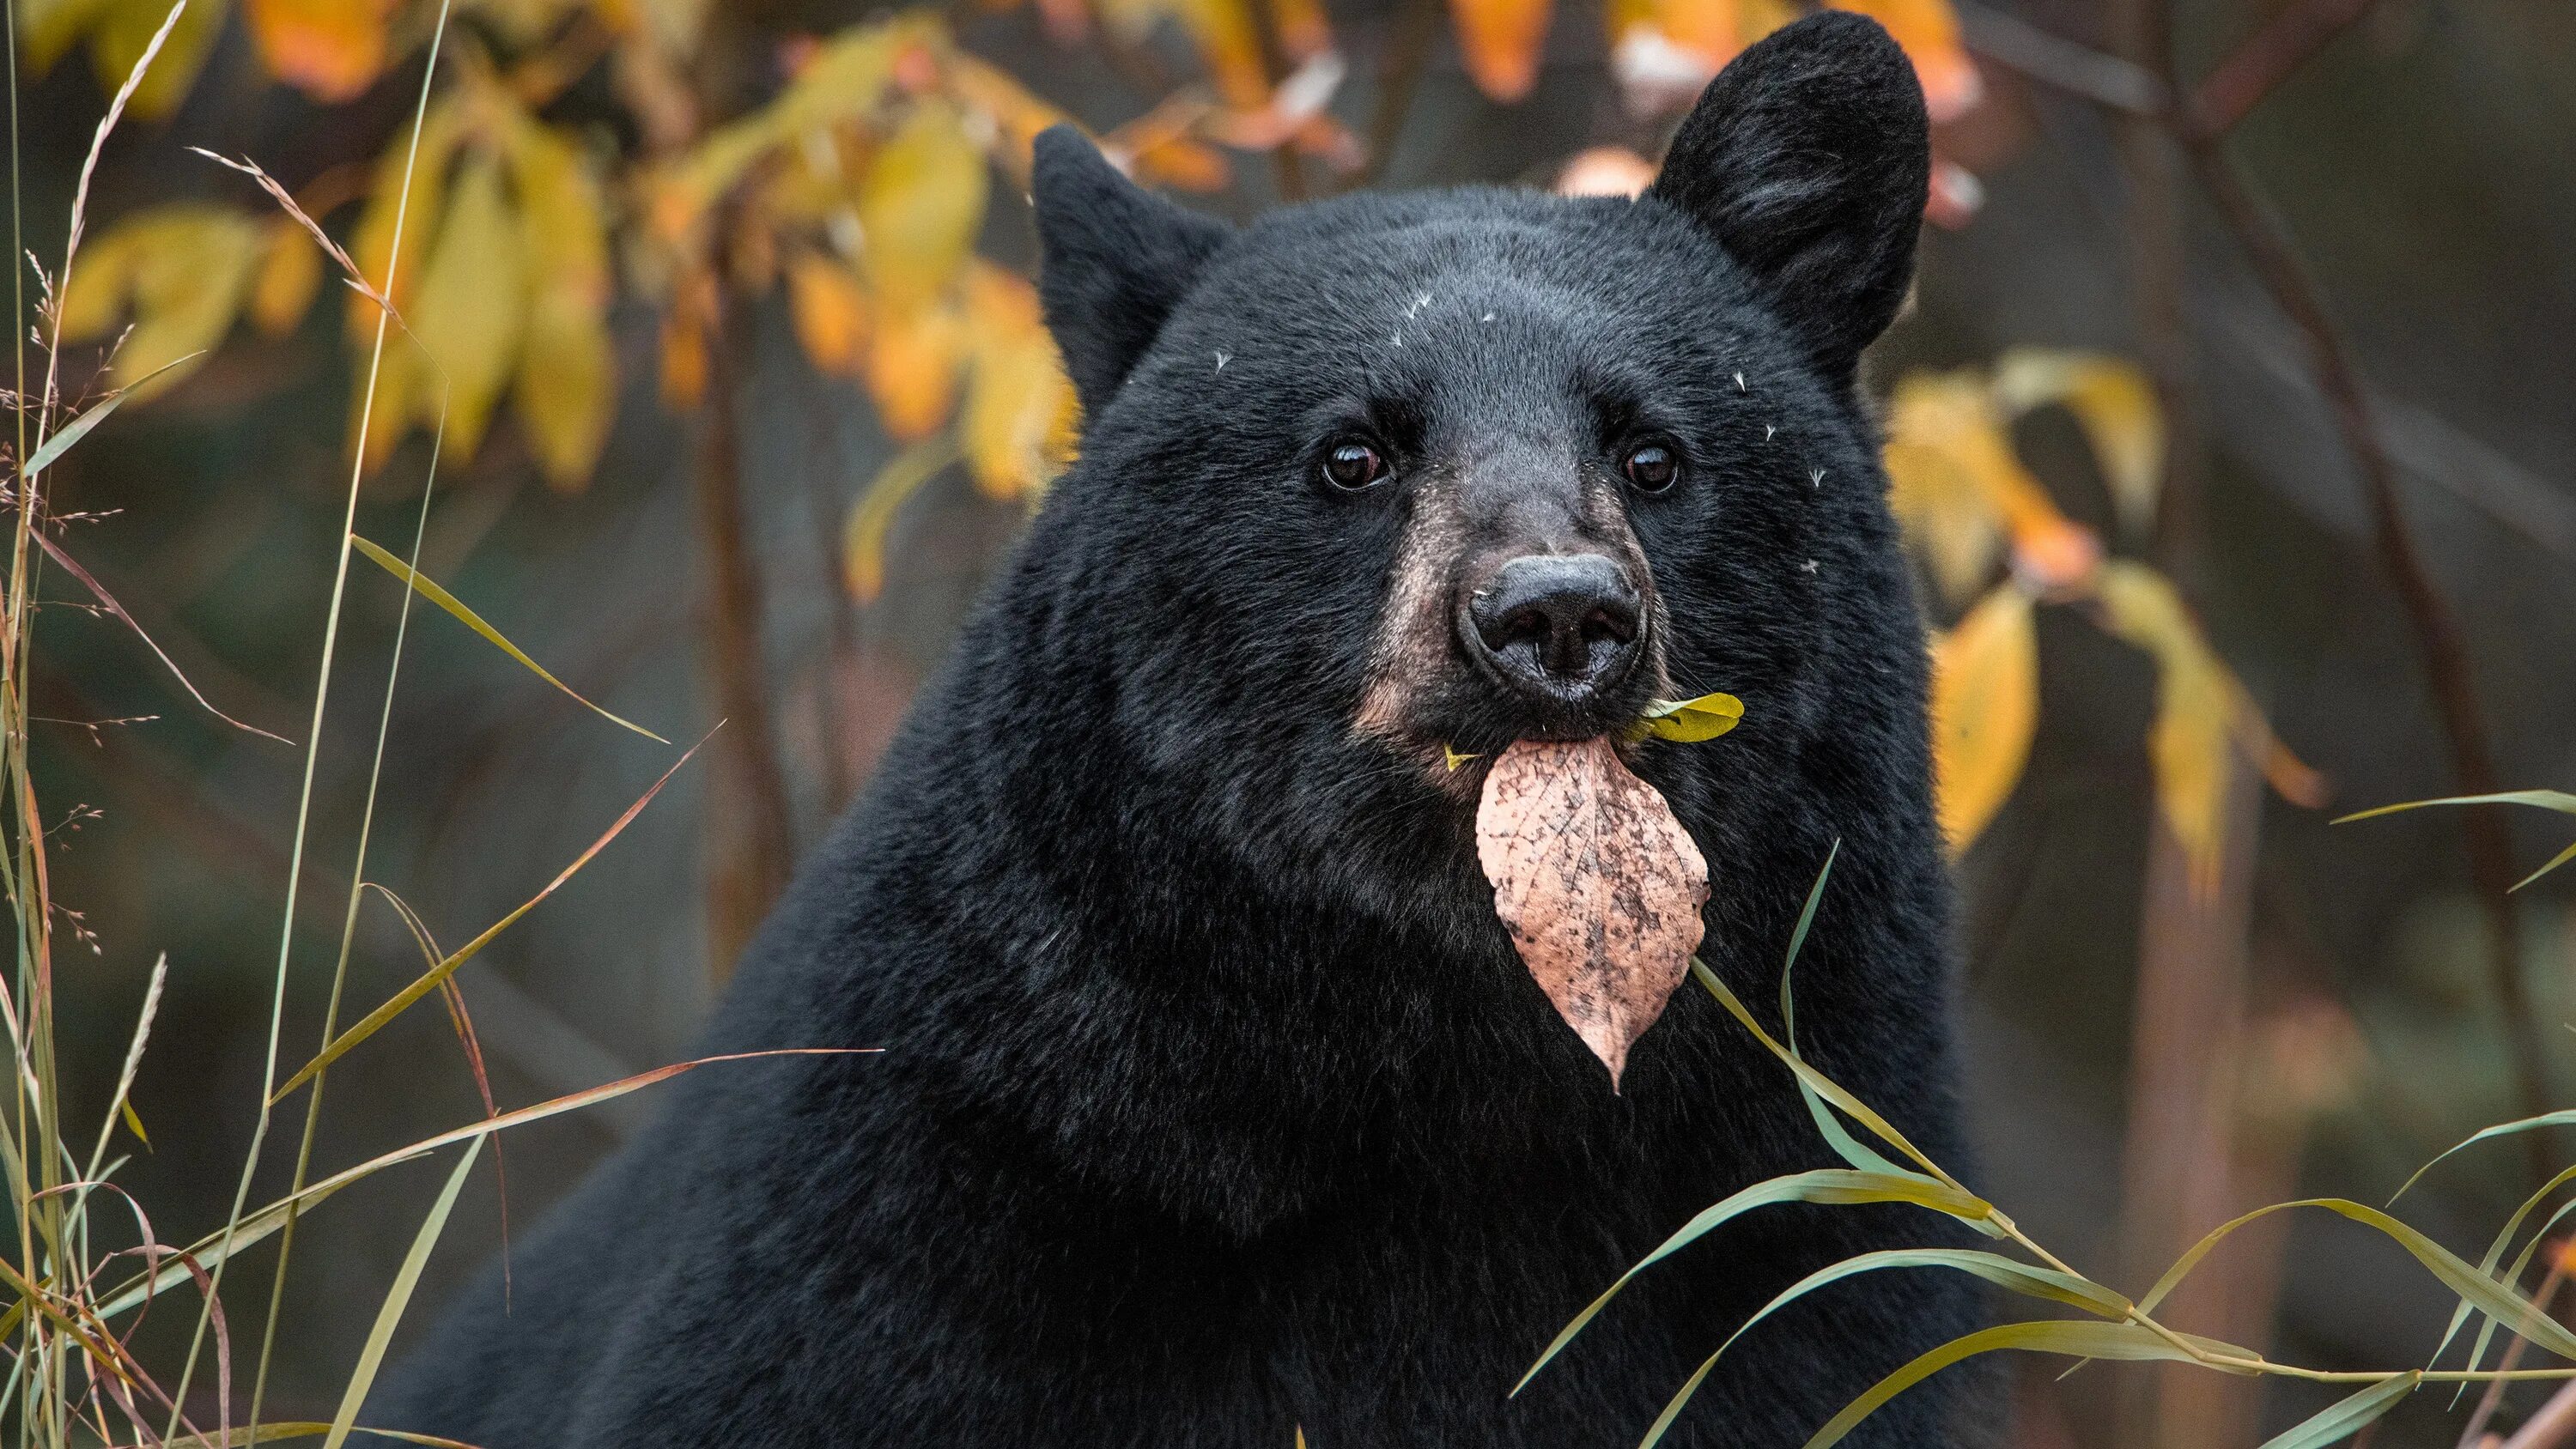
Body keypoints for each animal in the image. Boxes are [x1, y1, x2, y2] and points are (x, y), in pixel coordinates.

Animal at [381, 14, 1978, 1449]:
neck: (1455, 1071)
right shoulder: (907, 1217)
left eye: (1653, 455)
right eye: (1353, 453)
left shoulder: (1802, 1260)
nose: (1558, 617)